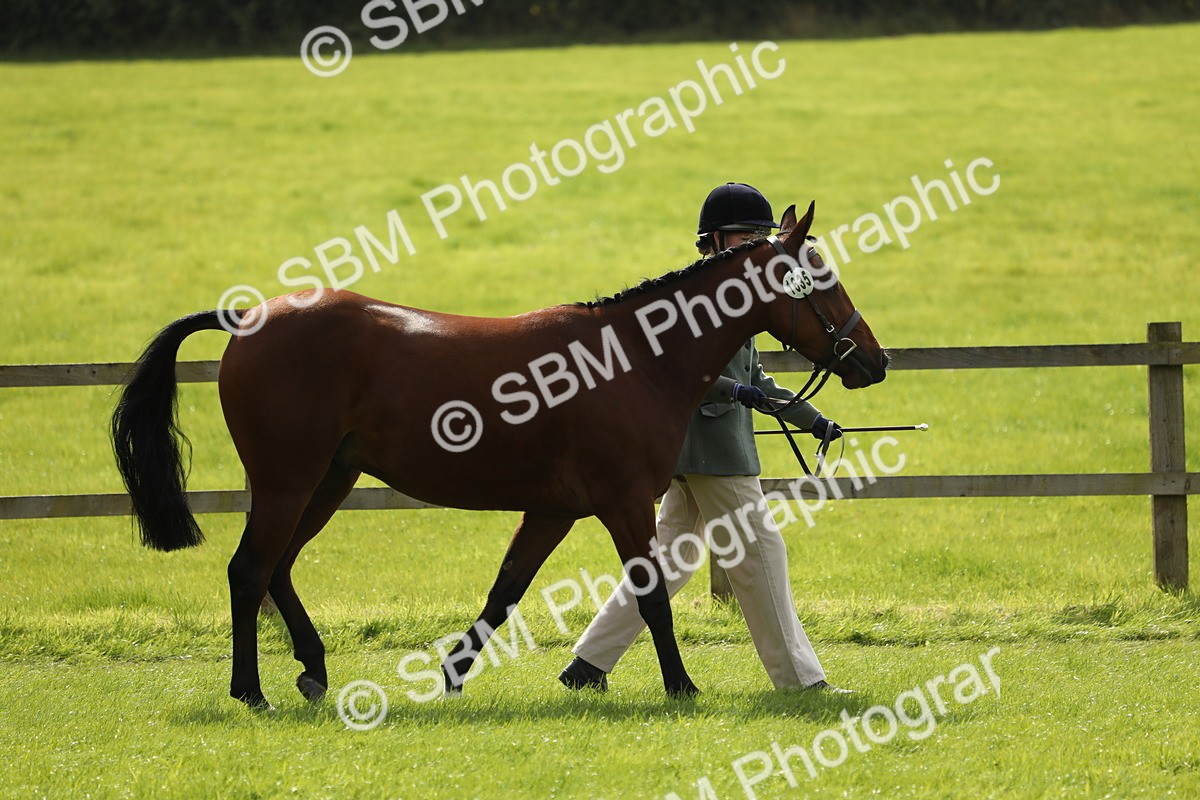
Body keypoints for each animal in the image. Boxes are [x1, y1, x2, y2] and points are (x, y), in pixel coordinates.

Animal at [111, 202, 887, 709]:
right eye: (819, 277)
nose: (873, 361)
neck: (635, 358)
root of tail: (250, 317)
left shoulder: (552, 511)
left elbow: (503, 592)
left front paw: (454, 675)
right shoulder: (623, 504)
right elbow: (652, 599)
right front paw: (681, 687)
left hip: (328, 480)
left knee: (279, 569)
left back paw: (312, 671)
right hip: (286, 481)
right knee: (249, 571)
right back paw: (251, 692)